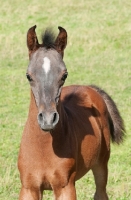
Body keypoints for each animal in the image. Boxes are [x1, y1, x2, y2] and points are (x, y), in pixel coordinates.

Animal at [17, 25, 124, 199]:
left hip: (101, 164)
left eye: (64, 75)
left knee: (101, 192)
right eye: (28, 76)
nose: (48, 119)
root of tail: (89, 88)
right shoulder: (28, 188)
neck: (43, 148)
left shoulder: (65, 187)